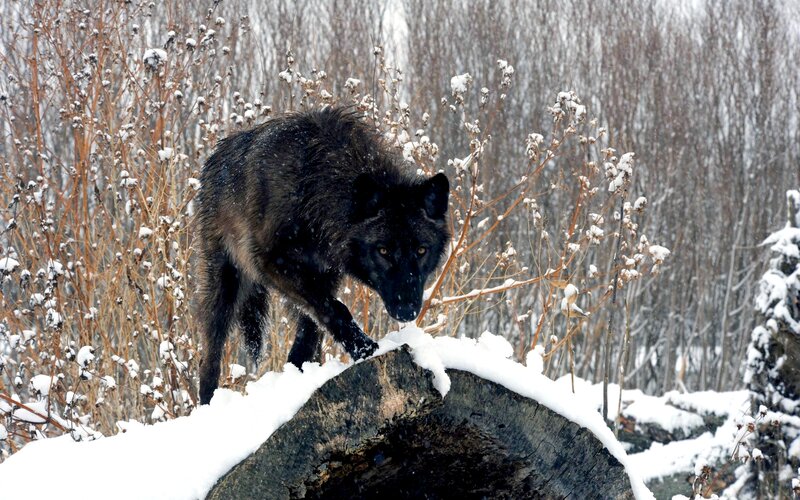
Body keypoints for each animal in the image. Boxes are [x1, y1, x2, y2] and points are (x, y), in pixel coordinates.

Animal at [196, 107, 450, 404]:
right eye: (383, 251)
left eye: (421, 250)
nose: (407, 310)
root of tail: (216, 156)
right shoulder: (272, 264)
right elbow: (336, 309)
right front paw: (365, 348)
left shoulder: (325, 275)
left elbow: (314, 328)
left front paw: (301, 376)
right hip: (225, 285)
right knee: (210, 354)